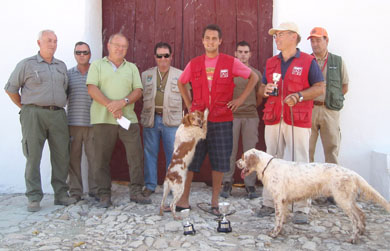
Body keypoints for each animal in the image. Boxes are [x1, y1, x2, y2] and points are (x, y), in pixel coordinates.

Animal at [235, 149, 390, 243]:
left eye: (243, 157)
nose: (236, 162)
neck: (267, 166)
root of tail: (352, 173)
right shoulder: (284, 201)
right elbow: (282, 218)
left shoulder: (278, 199)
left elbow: (277, 219)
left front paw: (274, 233)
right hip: (348, 199)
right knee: (361, 213)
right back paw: (362, 231)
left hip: (342, 200)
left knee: (355, 219)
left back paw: (353, 237)